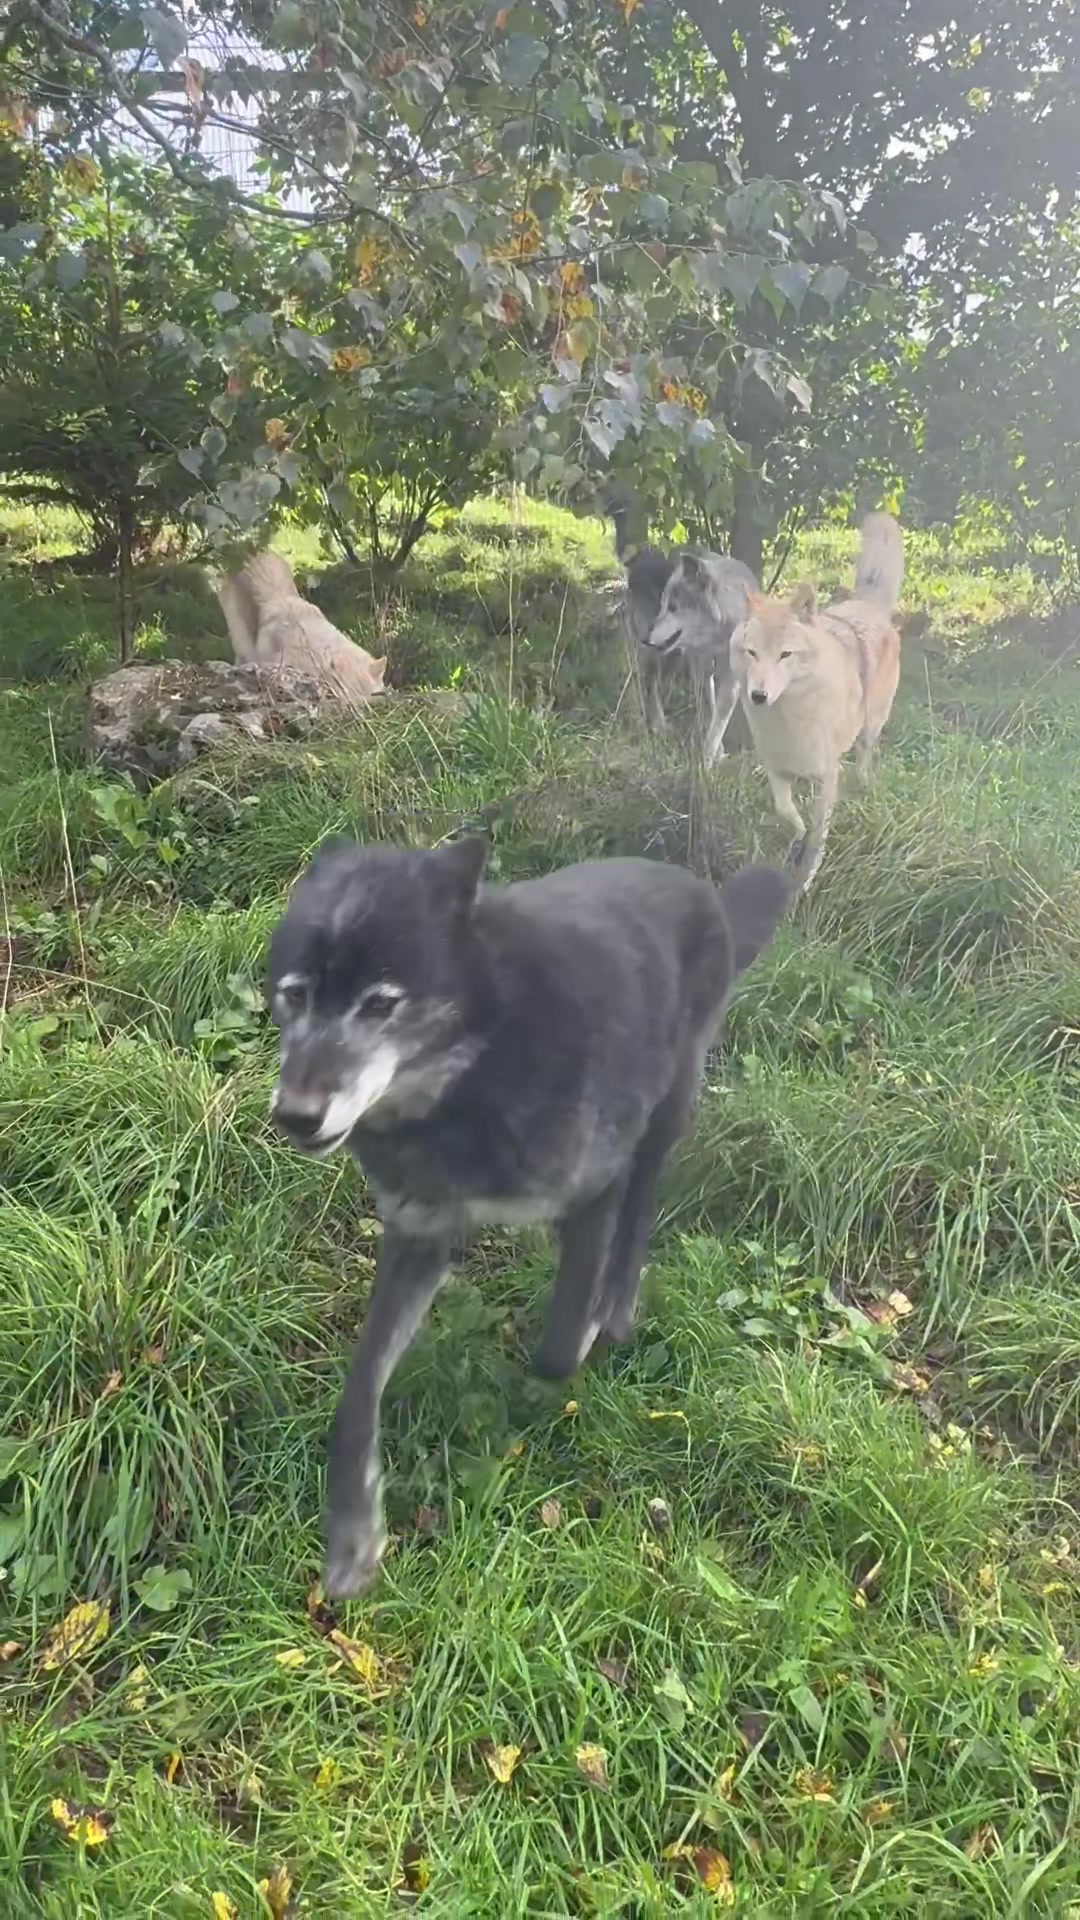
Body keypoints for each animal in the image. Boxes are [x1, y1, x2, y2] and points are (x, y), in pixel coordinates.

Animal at [267, 834, 789, 1596]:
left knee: (638, 1210)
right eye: (295, 994)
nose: (297, 1117)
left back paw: (617, 1305)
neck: (474, 1071)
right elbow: (357, 1395)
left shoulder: (595, 1183)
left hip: (670, 1111)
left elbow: (559, 1343)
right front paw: (354, 1535)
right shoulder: (418, 1237)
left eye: (381, 1004)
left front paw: (584, 1329)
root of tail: (704, 891)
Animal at [731, 513, 904, 893]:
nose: (759, 696)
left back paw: (864, 784)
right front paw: (795, 833)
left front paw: (806, 877)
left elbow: (817, 835)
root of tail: (866, 604)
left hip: (869, 729)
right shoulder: (777, 768)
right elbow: (786, 812)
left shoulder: (826, 776)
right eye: (752, 653)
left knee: (866, 758)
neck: (788, 718)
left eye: (785, 655)